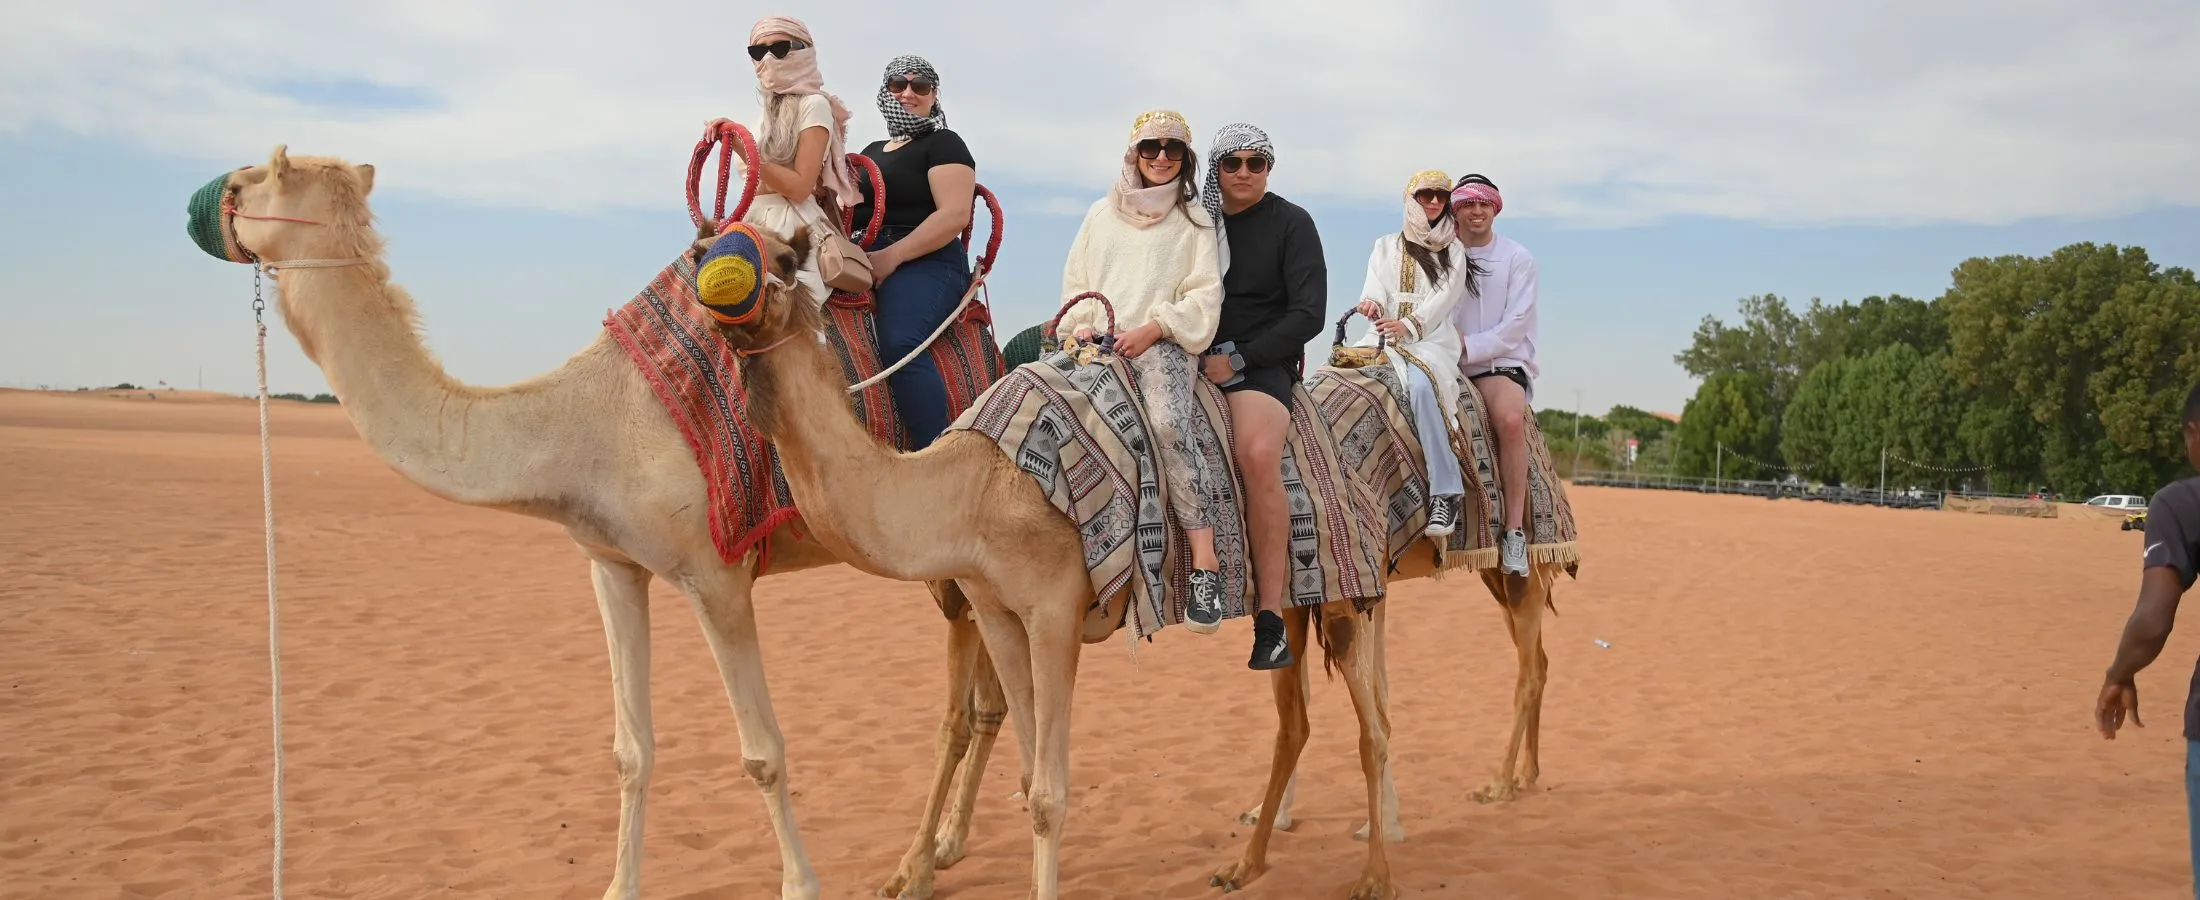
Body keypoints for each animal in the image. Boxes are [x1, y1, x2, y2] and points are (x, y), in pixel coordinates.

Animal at [200, 147, 1020, 897]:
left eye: (249, 182)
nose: (205, 206)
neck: (590, 420)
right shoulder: (612, 564)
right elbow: (632, 750)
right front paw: (619, 885)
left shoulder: (717, 576)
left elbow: (762, 752)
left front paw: (800, 883)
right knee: (991, 698)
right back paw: (944, 848)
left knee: (967, 703)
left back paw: (916, 865)